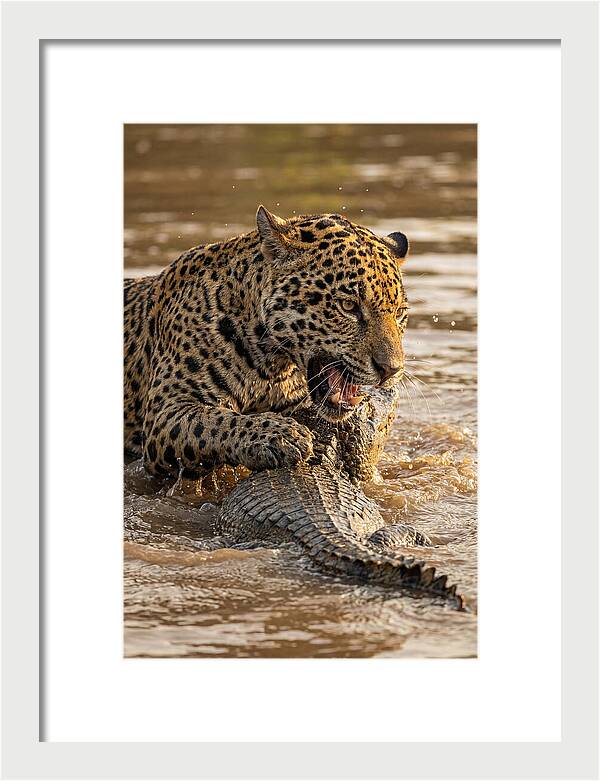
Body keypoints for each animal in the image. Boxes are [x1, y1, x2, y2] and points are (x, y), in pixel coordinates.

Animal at [124, 206, 410, 478]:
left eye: (399, 313)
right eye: (348, 306)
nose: (391, 370)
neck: (272, 365)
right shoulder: (167, 411)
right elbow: (214, 421)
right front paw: (280, 435)